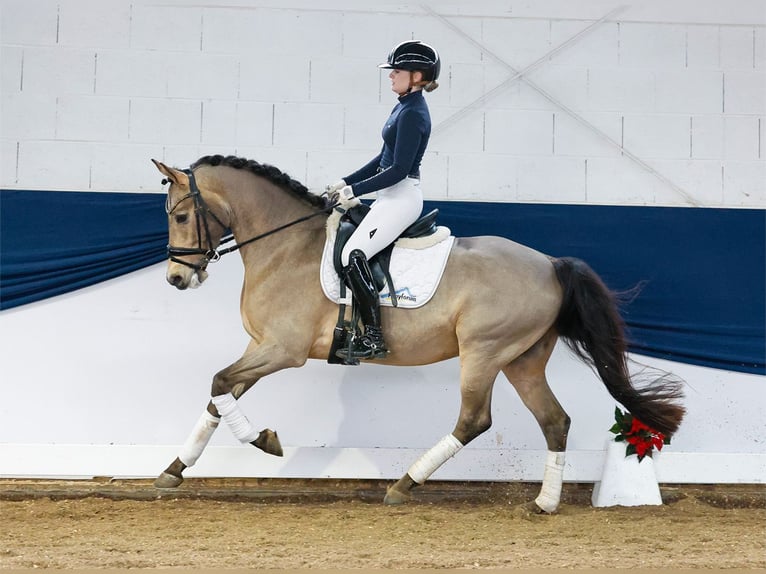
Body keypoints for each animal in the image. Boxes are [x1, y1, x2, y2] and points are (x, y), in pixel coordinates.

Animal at [153, 154, 688, 512]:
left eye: (180, 216)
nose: (176, 279)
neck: (285, 246)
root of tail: (551, 264)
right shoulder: (260, 347)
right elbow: (218, 396)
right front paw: (172, 472)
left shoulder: (282, 349)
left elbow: (220, 384)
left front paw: (266, 442)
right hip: (523, 360)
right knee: (554, 420)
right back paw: (544, 503)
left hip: (483, 352)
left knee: (474, 420)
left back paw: (404, 485)